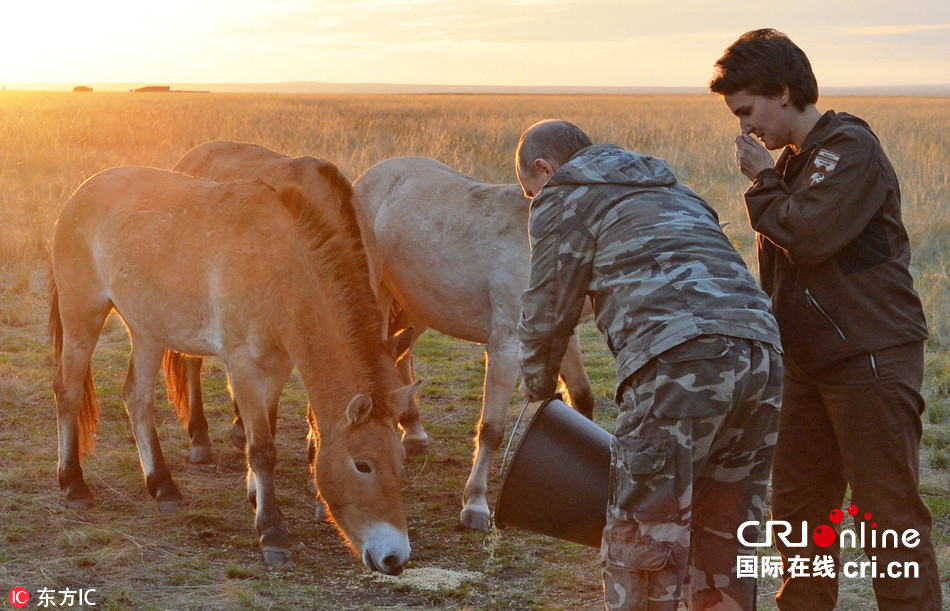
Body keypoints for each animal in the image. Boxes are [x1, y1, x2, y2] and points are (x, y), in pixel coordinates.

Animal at [50, 164, 418, 572]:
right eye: (362, 464)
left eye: (400, 461)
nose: (395, 557)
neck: (282, 268)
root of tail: (82, 191)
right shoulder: (243, 365)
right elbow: (262, 448)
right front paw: (272, 532)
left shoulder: (277, 365)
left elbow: (266, 429)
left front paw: (257, 497)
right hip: (83, 314)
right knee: (68, 391)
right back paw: (73, 485)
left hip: (147, 330)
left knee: (137, 399)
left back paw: (163, 487)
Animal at [356, 158, 596, 532]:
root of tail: (370, 176)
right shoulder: (506, 346)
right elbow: (492, 429)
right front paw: (476, 504)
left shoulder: (562, 334)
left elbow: (583, 397)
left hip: (417, 306)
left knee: (400, 356)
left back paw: (413, 431)